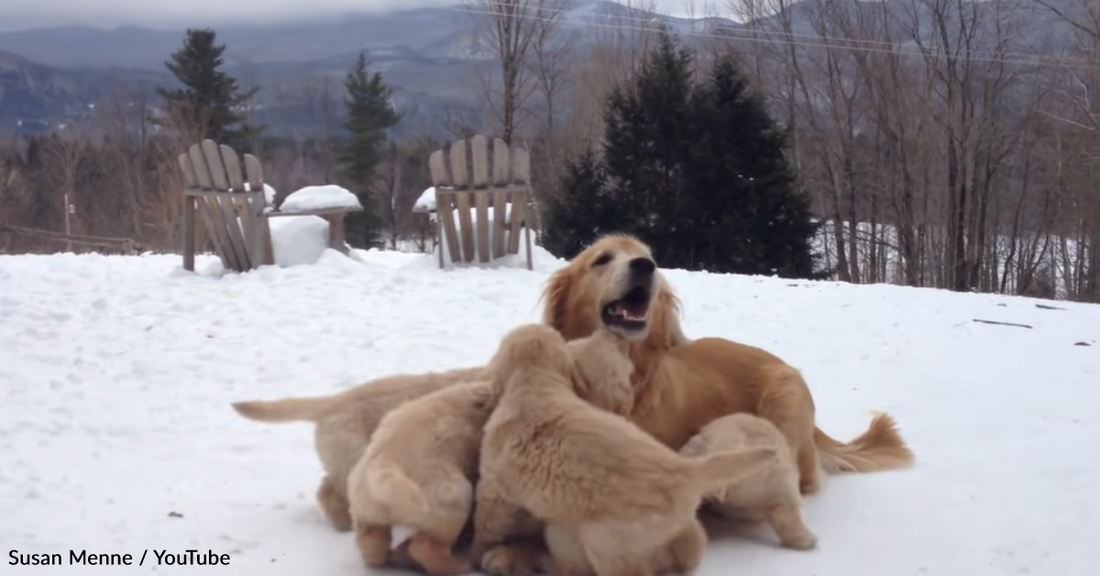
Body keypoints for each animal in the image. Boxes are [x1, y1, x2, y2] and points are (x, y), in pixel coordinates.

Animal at [347, 380, 495, 571]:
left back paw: (379, 555)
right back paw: (457, 565)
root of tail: (381, 464)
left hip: (365, 500)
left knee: (371, 534)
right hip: (438, 488)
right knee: (437, 532)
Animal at [475, 323, 774, 576]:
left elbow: (487, 519)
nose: (613, 332)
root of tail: (686, 470)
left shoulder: (494, 485)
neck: (535, 385)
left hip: (602, 541)